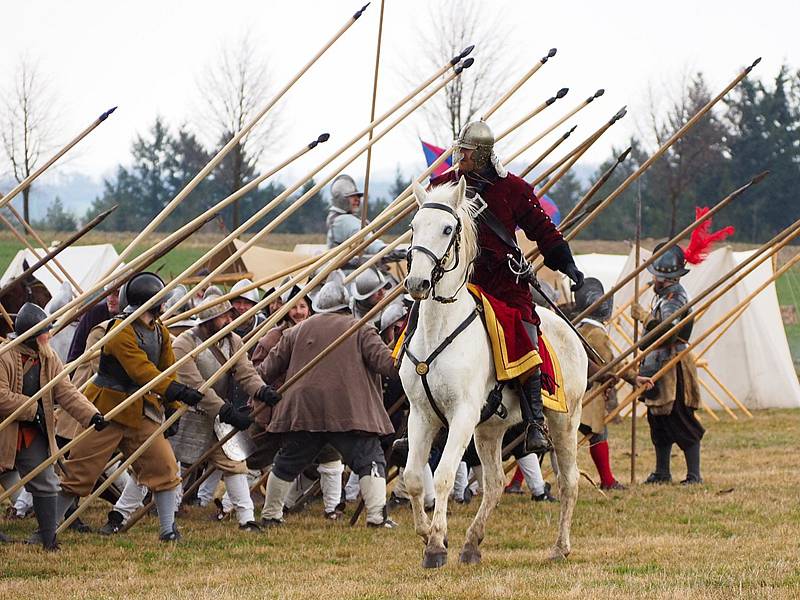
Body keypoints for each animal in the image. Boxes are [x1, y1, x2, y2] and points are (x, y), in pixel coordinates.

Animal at [400, 177, 588, 568]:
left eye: (447, 229)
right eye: (414, 226)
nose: (417, 283)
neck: (440, 329)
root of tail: (570, 330)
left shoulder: (462, 415)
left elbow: (442, 476)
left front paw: (437, 544)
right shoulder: (421, 415)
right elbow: (412, 478)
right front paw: (428, 535)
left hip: (565, 420)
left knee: (569, 482)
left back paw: (560, 547)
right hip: (489, 430)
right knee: (496, 482)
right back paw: (472, 543)